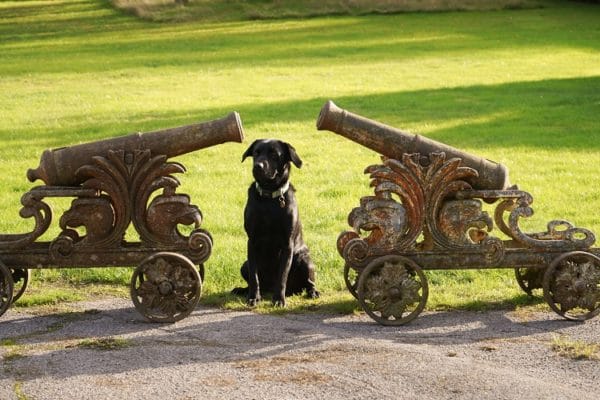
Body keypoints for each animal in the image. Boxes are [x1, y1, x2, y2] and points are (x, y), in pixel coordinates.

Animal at [233, 139, 318, 308]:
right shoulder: (252, 241)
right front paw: (253, 297)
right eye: (256, 152)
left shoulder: (287, 244)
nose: (257, 166)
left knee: (309, 283)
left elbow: (282, 276)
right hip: (244, 265)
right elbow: (254, 277)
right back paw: (243, 290)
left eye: (274, 154)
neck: (269, 198)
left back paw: (312, 292)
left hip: (305, 261)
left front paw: (279, 299)